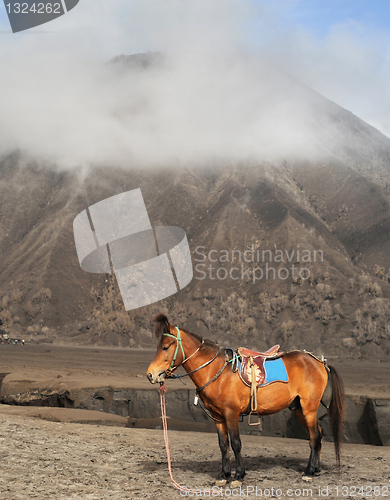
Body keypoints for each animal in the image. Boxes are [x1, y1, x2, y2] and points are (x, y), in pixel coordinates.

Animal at [146, 314, 344, 486]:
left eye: (165, 347)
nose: (151, 375)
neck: (216, 371)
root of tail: (319, 362)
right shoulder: (218, 417)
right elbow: (223, 445)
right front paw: (224, 475)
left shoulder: (231, 413)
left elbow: (236, 443)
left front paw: (238, 476)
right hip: (298, 408)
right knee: (318, 434)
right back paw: (315, 468)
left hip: (309, 408)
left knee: (314, 436)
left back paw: (309, 472)